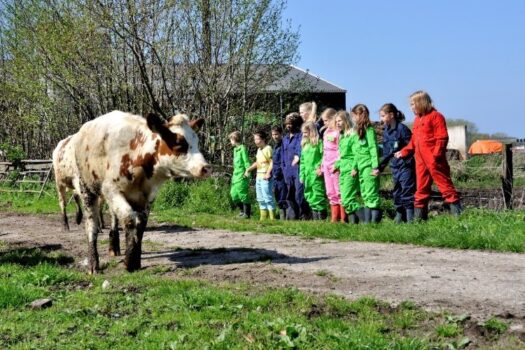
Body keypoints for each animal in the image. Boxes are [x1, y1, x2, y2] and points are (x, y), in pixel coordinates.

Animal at [71, 111, 211, 274]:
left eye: (197, 141)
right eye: (179, 143)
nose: (205, 168)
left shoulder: (147, 197)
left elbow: (141, 223)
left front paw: (135, 259)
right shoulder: (111, 189)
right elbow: (130, 220)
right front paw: (129, 262)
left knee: (113, 216)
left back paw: (114, 246)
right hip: (87, 189)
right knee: (91, 224)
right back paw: (93, 263)